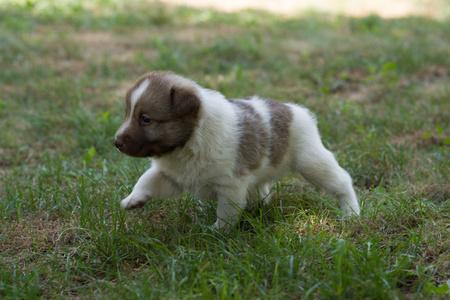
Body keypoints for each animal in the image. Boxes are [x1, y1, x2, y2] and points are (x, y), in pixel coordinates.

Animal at [114, 72, 360, 227]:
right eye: (127, 114)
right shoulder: (170, 176)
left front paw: (217, 232)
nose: (116, 143)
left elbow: (227, 213)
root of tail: (296, 109)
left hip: (312, 161)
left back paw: (352, 212)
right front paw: (132, 200)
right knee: (262, 188)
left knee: (342, 181)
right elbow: (147, 181)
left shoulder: (230, 185)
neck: (188, 144)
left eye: (145, 119)